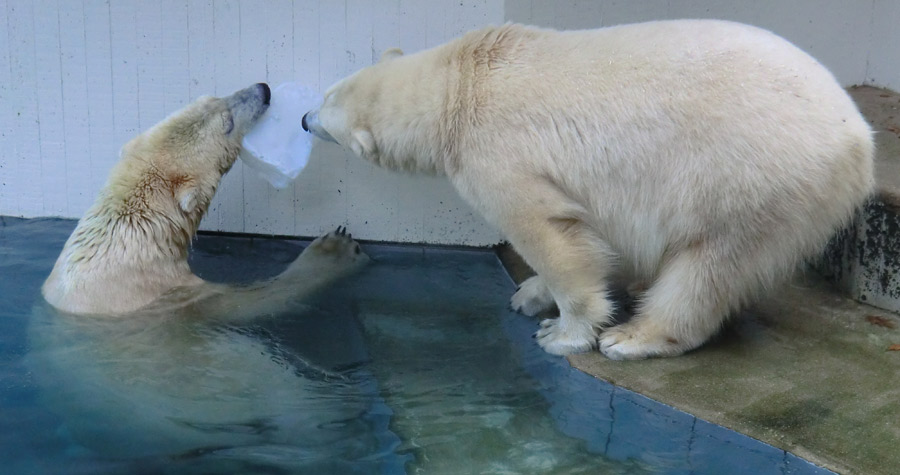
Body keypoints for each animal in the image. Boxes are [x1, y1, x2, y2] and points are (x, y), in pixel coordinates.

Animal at [302, 19, 872, 360]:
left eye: (326, 106)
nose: (305, 119)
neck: (459, 85)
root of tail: (860, 141)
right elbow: (606, 236)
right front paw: (530, 294)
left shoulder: (496, 153)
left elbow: (547, 231)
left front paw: (562, 331)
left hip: (751, 177)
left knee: (711, 263)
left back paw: (633, 337)